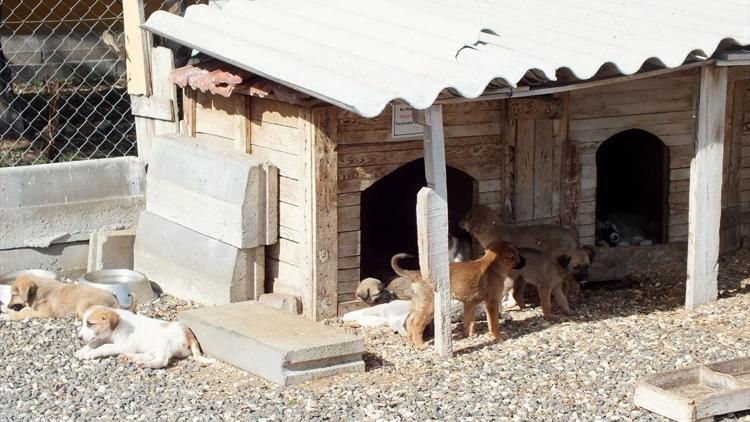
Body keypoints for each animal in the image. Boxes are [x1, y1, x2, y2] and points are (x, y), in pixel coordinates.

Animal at [4, 274, 132, 320]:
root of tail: (116, 302)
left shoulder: (45, 313)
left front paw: (9, 315)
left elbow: (26, 311)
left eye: (13, 295)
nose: (8, 306)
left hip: (82, 303)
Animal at [75, 304, 212, 368]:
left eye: (90, 324)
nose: (79, 337)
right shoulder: (103, 337)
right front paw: (83, 351)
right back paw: (131, 358)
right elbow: (93, 342)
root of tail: (188, 333)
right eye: (83, 323)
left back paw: (146, 364)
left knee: (162, 360)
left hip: (163, 340)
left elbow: (106, 347)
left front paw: (91, 353)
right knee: (151, 355)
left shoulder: (126, 345)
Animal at [390, 241, 524, 350]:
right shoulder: (492, 303)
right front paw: (498, 336)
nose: (525, 259)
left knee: (410, 320)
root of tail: (418, 274)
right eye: (518, 253)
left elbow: (469, 322)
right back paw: (421, 345)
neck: (493, 265)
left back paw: (411, 340)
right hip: (429, 307)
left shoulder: (470, 304)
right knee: (416, 324)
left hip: (418, 304)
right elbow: (493, 323)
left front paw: (470, 335)